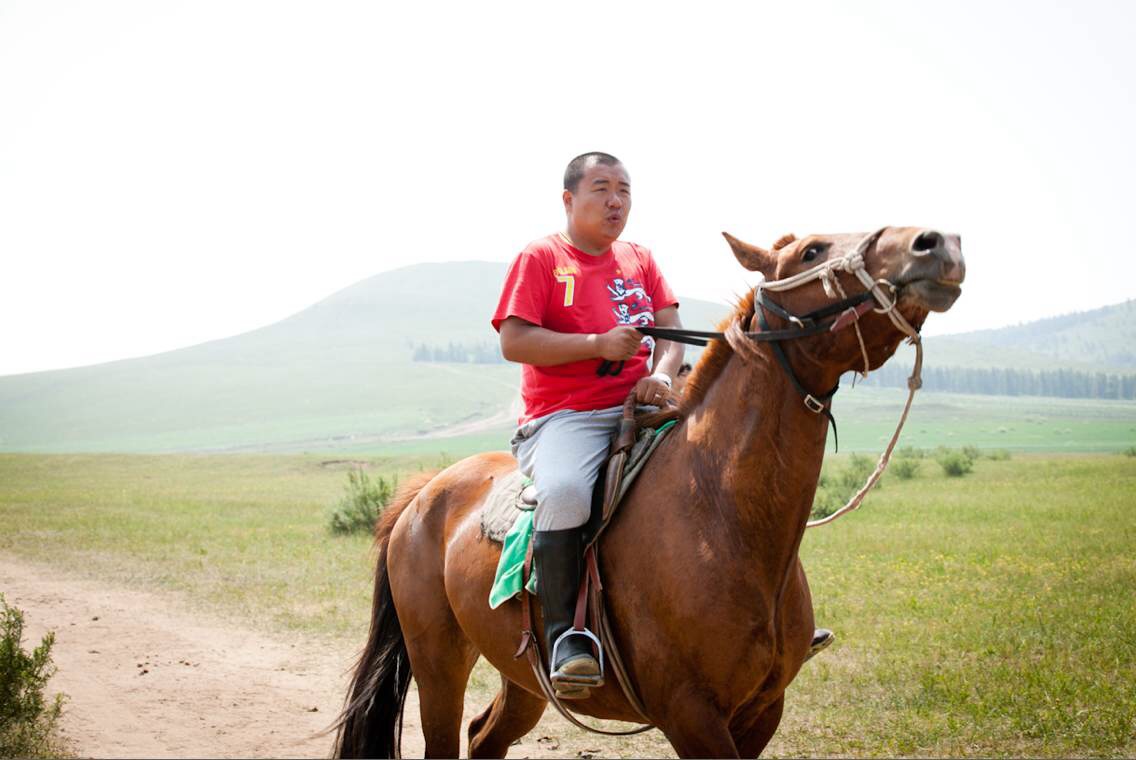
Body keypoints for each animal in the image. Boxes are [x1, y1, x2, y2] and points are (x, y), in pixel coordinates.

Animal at [331, 227, 963, 758]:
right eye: (811, 250)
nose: (937, 243)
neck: (722, 514)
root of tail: (422, 495)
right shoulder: (692, 714)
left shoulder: (763, 711)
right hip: (438, 663)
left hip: (524, 676)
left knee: (485, 736)